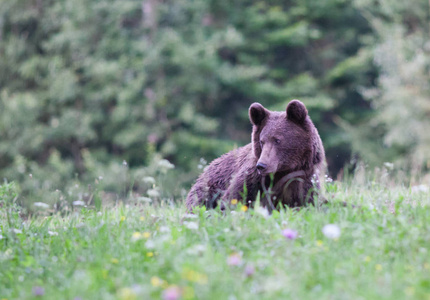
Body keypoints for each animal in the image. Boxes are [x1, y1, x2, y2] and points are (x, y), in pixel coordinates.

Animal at [186, 100, 326, 211]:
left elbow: (309, 203)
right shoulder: (253, 178)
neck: (284, 172)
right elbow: (235, 198)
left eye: (277, 140)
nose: (262, 165)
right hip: (207, 189)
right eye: (262, 141)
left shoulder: (304, 180)